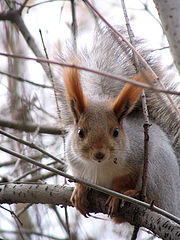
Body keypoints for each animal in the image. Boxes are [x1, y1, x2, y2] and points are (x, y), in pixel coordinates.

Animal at [57, 25, 180, 221]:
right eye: (80, 133)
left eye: (115, 132)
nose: (99, 154)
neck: (100, 166)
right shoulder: (75, 162)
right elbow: (79, 178)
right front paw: (79, 191)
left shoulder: (136, 158)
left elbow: (123, 181)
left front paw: (118, 196)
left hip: (157, 172)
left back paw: (136, 196)